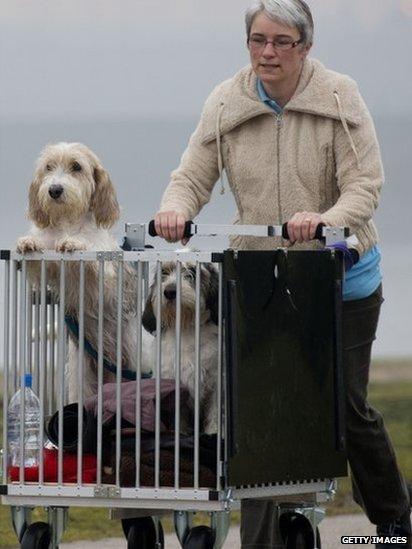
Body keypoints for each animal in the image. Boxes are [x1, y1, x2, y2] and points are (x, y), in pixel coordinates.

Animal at [17, 141, 150, 398]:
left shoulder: (104, 282)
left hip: (138, 362)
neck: (66, 223)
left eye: (76, 166)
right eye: (48, 167)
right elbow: (38, 259)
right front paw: (28, 242)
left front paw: (75, 243)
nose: (54, 190)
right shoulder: (49, 267)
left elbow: (93, 264)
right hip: (82, 376)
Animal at [142, 260, 219, 434]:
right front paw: (180, 432)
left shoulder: (216, 381)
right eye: (164, 272)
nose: (169, 291)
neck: (186, 330)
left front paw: (214, 432)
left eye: (192, 271)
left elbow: (215, 410)